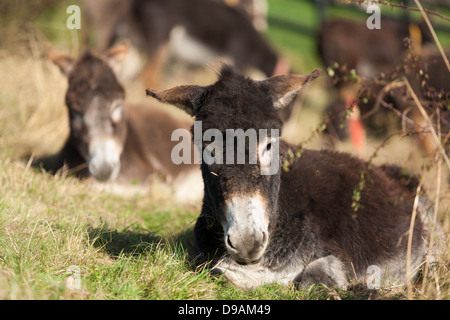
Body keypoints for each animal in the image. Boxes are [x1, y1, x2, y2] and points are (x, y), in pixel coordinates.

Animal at [147, 65, 442, 290]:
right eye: (207, 147)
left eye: (269, 144)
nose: (246, 242)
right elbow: (220, 271)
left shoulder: (342, 256)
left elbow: (312, 278)